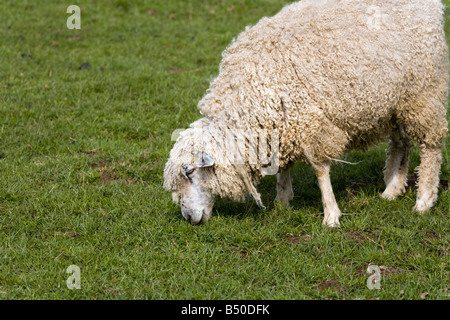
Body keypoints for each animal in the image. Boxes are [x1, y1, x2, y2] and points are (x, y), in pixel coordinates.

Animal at [163, 0, 448, 228]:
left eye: (190, 172)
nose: (188, 218)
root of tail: (432, 5)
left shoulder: (311, 123)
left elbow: (320, 170)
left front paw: (331, 215)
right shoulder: (282, 123)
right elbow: (283, 164)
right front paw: (282, 200)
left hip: (424, 91)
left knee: (431, 145)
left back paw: (424, 199)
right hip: (397, 100)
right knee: (401, 142)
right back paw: (392, 189)